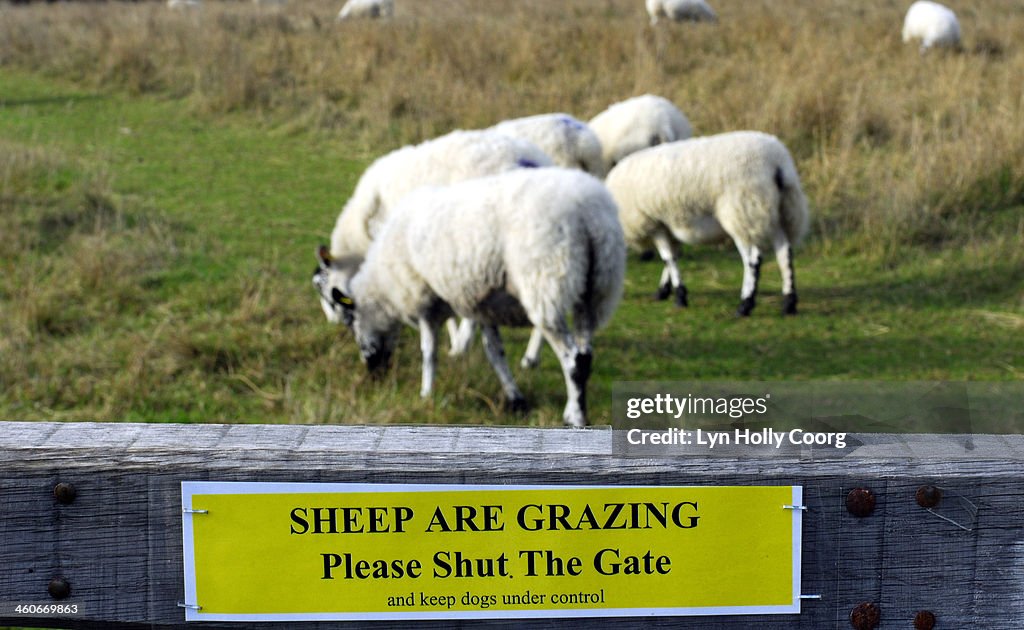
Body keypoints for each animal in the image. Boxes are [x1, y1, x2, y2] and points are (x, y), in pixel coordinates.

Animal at [315, 168, 626, 428]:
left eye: (351, 325)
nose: (373, 374)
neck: (385, 287)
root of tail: (589, 212)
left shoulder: (424, 299)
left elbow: (429, 351)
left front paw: (426, 393)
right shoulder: (483, 305)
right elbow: (495, 353)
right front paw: (515, 400)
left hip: (546, 281)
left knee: (573, 359)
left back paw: (574, 416)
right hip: (596, 289)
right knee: (586, 353)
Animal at [602, 134, 811, 319]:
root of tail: (778, 164)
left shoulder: (654, 224)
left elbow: (668, 259)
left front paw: (679, 297)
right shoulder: (670, 225)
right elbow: (673, 257)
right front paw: (664, 290)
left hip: (741, 209)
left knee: (753, 261)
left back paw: (745, 305)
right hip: (770, 211)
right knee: (784, 253)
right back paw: (789, 303)